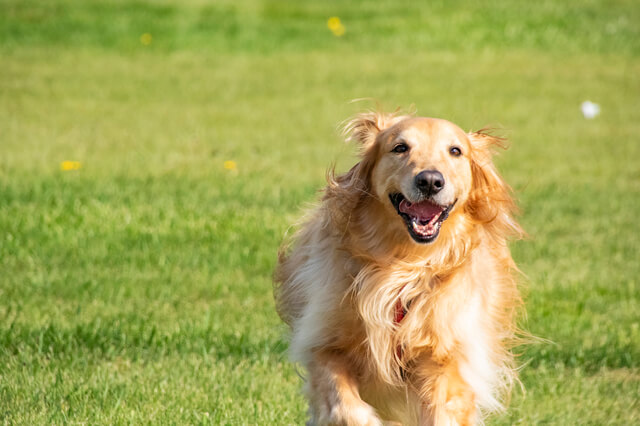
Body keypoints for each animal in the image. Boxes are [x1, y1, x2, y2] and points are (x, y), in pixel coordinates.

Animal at [272, 110, 524, 426]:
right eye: (400, 148)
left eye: (455, 151)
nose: (430, 181)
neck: (404, 263)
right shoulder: (323, 341)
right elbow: (345, 405)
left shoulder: (446, 357)